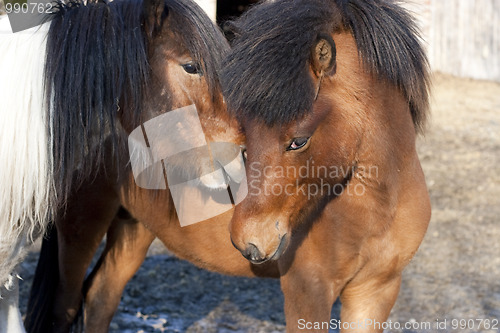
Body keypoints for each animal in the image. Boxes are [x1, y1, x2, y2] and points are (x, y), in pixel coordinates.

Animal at [221, 0, 432, 330]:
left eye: (299, 141)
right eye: (245, 132)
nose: (246, 241)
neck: (381, 209)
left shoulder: (375, 290)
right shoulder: (309, 292)